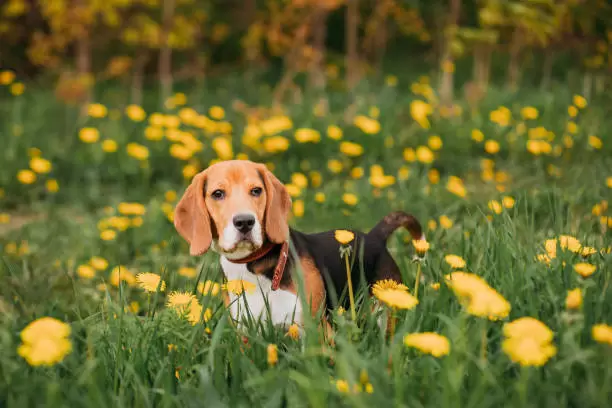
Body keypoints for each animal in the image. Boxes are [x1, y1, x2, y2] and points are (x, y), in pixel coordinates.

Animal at [175, 159, 424, 332]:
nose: (245, 222)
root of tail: (374, 238)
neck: (253, 268)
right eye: (217, 194)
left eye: (256, 190)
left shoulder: (315, 328)